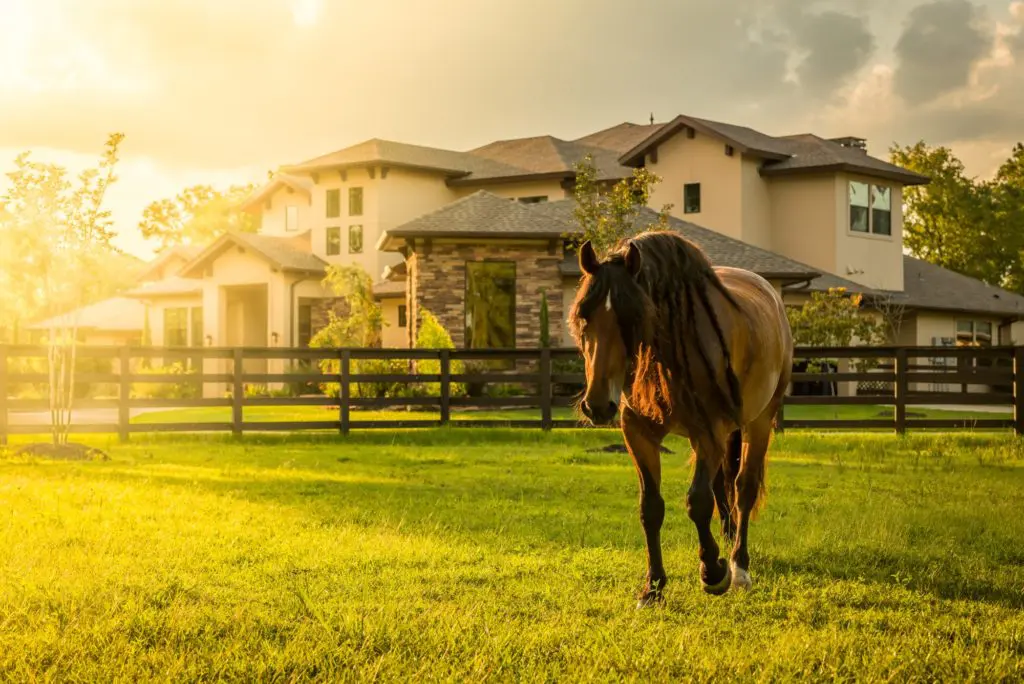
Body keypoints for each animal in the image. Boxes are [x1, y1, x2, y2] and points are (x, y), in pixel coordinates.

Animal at [567, 230, 793, 605]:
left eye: (634, 319)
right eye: (583, 316)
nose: (597, 406)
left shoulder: (709, 431)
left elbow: (697, 502)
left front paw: (713, 572)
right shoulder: (638, 433)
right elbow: (651, 508)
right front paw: (653, 586)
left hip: (759, 422)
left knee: (742, 488)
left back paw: (739, 566)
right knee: (722, 486)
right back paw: (727, 539)